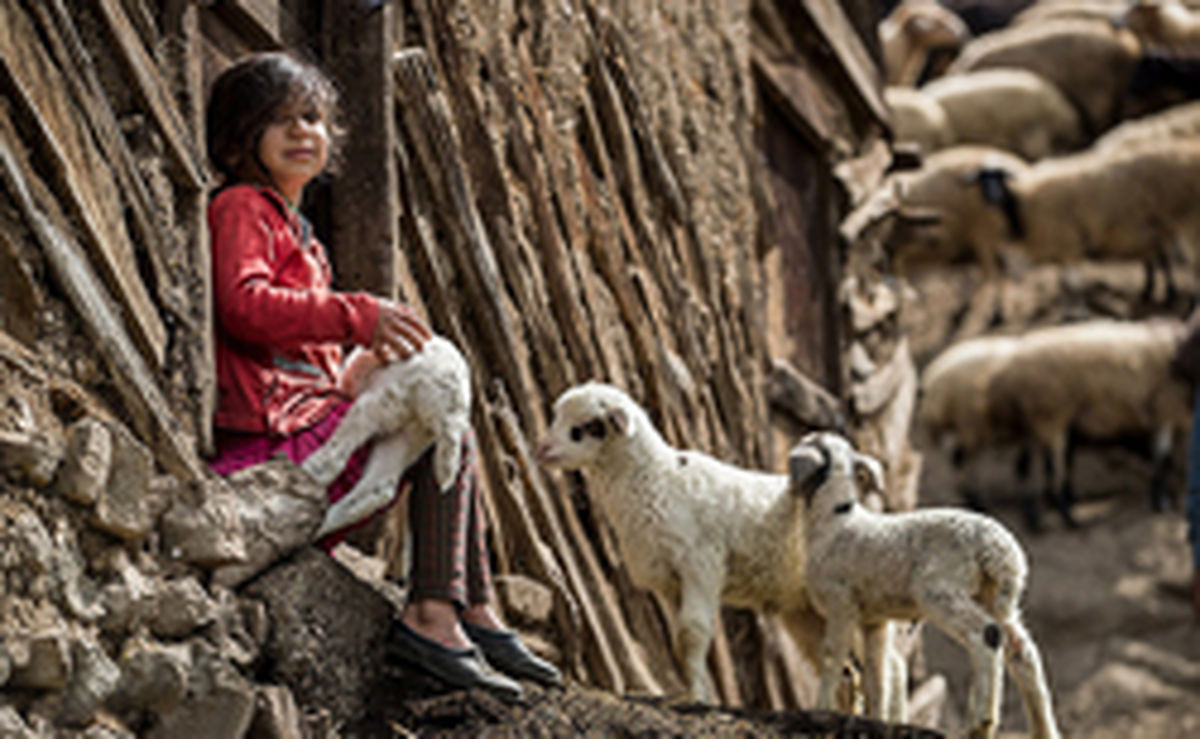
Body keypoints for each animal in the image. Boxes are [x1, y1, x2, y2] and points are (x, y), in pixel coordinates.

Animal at [297, 335, 470, 537]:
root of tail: (451, 411)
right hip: (410, 436)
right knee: (379, 489)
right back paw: (315, 527)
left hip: (393, 397)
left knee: (343, 445)